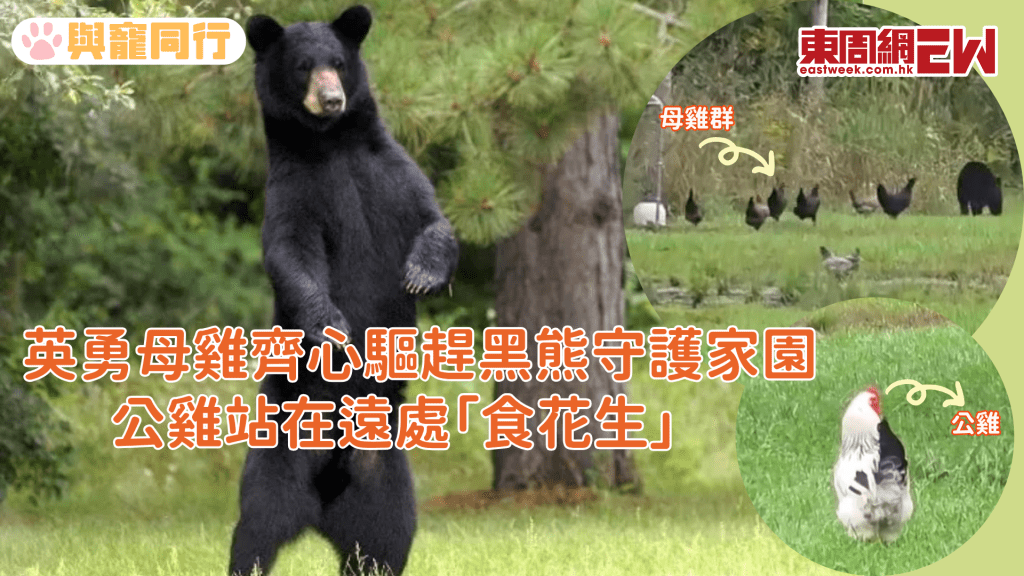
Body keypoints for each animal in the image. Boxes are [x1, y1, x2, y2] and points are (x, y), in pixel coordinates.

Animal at [229, 5, 459, 576]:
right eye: (304, 67)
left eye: (336, 62)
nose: (331, 98)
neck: (333, 142)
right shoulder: (295, 191)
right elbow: (293, 254)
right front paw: (330, 325)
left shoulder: (392, 172)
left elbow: (434, 222)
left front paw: (422, 273)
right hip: (280, 449)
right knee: (258, 525)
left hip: (383, 471)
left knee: (386, 537)